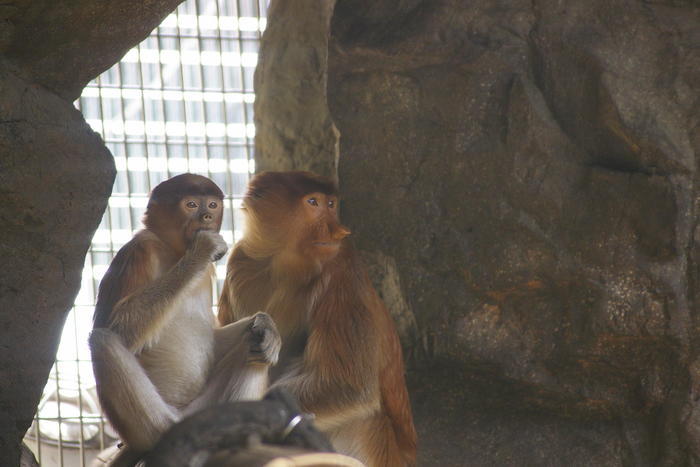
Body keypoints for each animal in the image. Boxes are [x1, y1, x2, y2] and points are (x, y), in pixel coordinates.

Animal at [89, 174, 280, 466]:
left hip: (204, 408)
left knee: (254, 346)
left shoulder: (207, 273)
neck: (174, 251)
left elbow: (216, 336)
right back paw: (164, 432)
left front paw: (269, 329)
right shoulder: (139, 252)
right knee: (102, 340)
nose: (205, 217)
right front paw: (203, 248)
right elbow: (119, 327)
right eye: (191, 205)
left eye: (212, 205)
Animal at [219, 173, 416, 467]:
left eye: (331, 204)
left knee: (362, 418)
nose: (339, 232)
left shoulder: (343, 273)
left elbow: (349, 386)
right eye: (313, 202)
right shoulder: (239, 262)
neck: (283, 265)